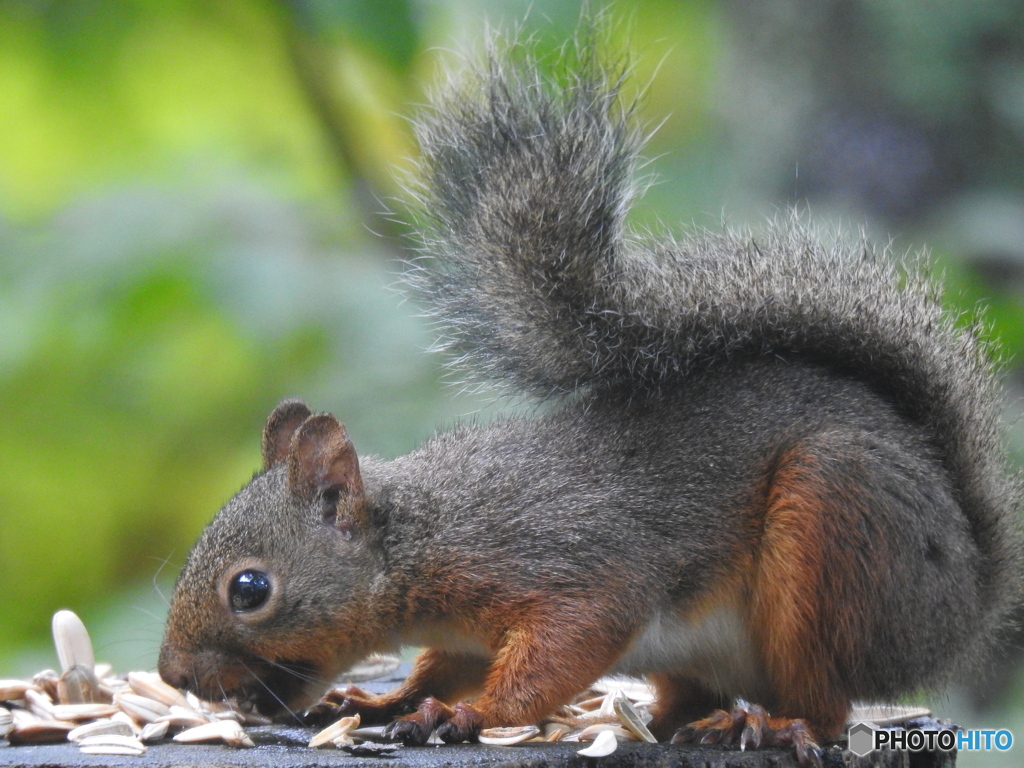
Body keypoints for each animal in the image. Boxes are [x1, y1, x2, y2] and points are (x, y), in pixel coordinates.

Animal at [155, 27, 1019, 765]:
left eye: (250, 589)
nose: (172, 675)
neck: (421, 538)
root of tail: (966, 600)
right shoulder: (463, 630)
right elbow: (441, 665)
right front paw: (387, 701)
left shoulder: (566, 565)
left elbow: (557, 652)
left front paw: (466, 715)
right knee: (689, 697)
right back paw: (686, 720)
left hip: (833, 531)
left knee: (827, 704)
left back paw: (775, 725)